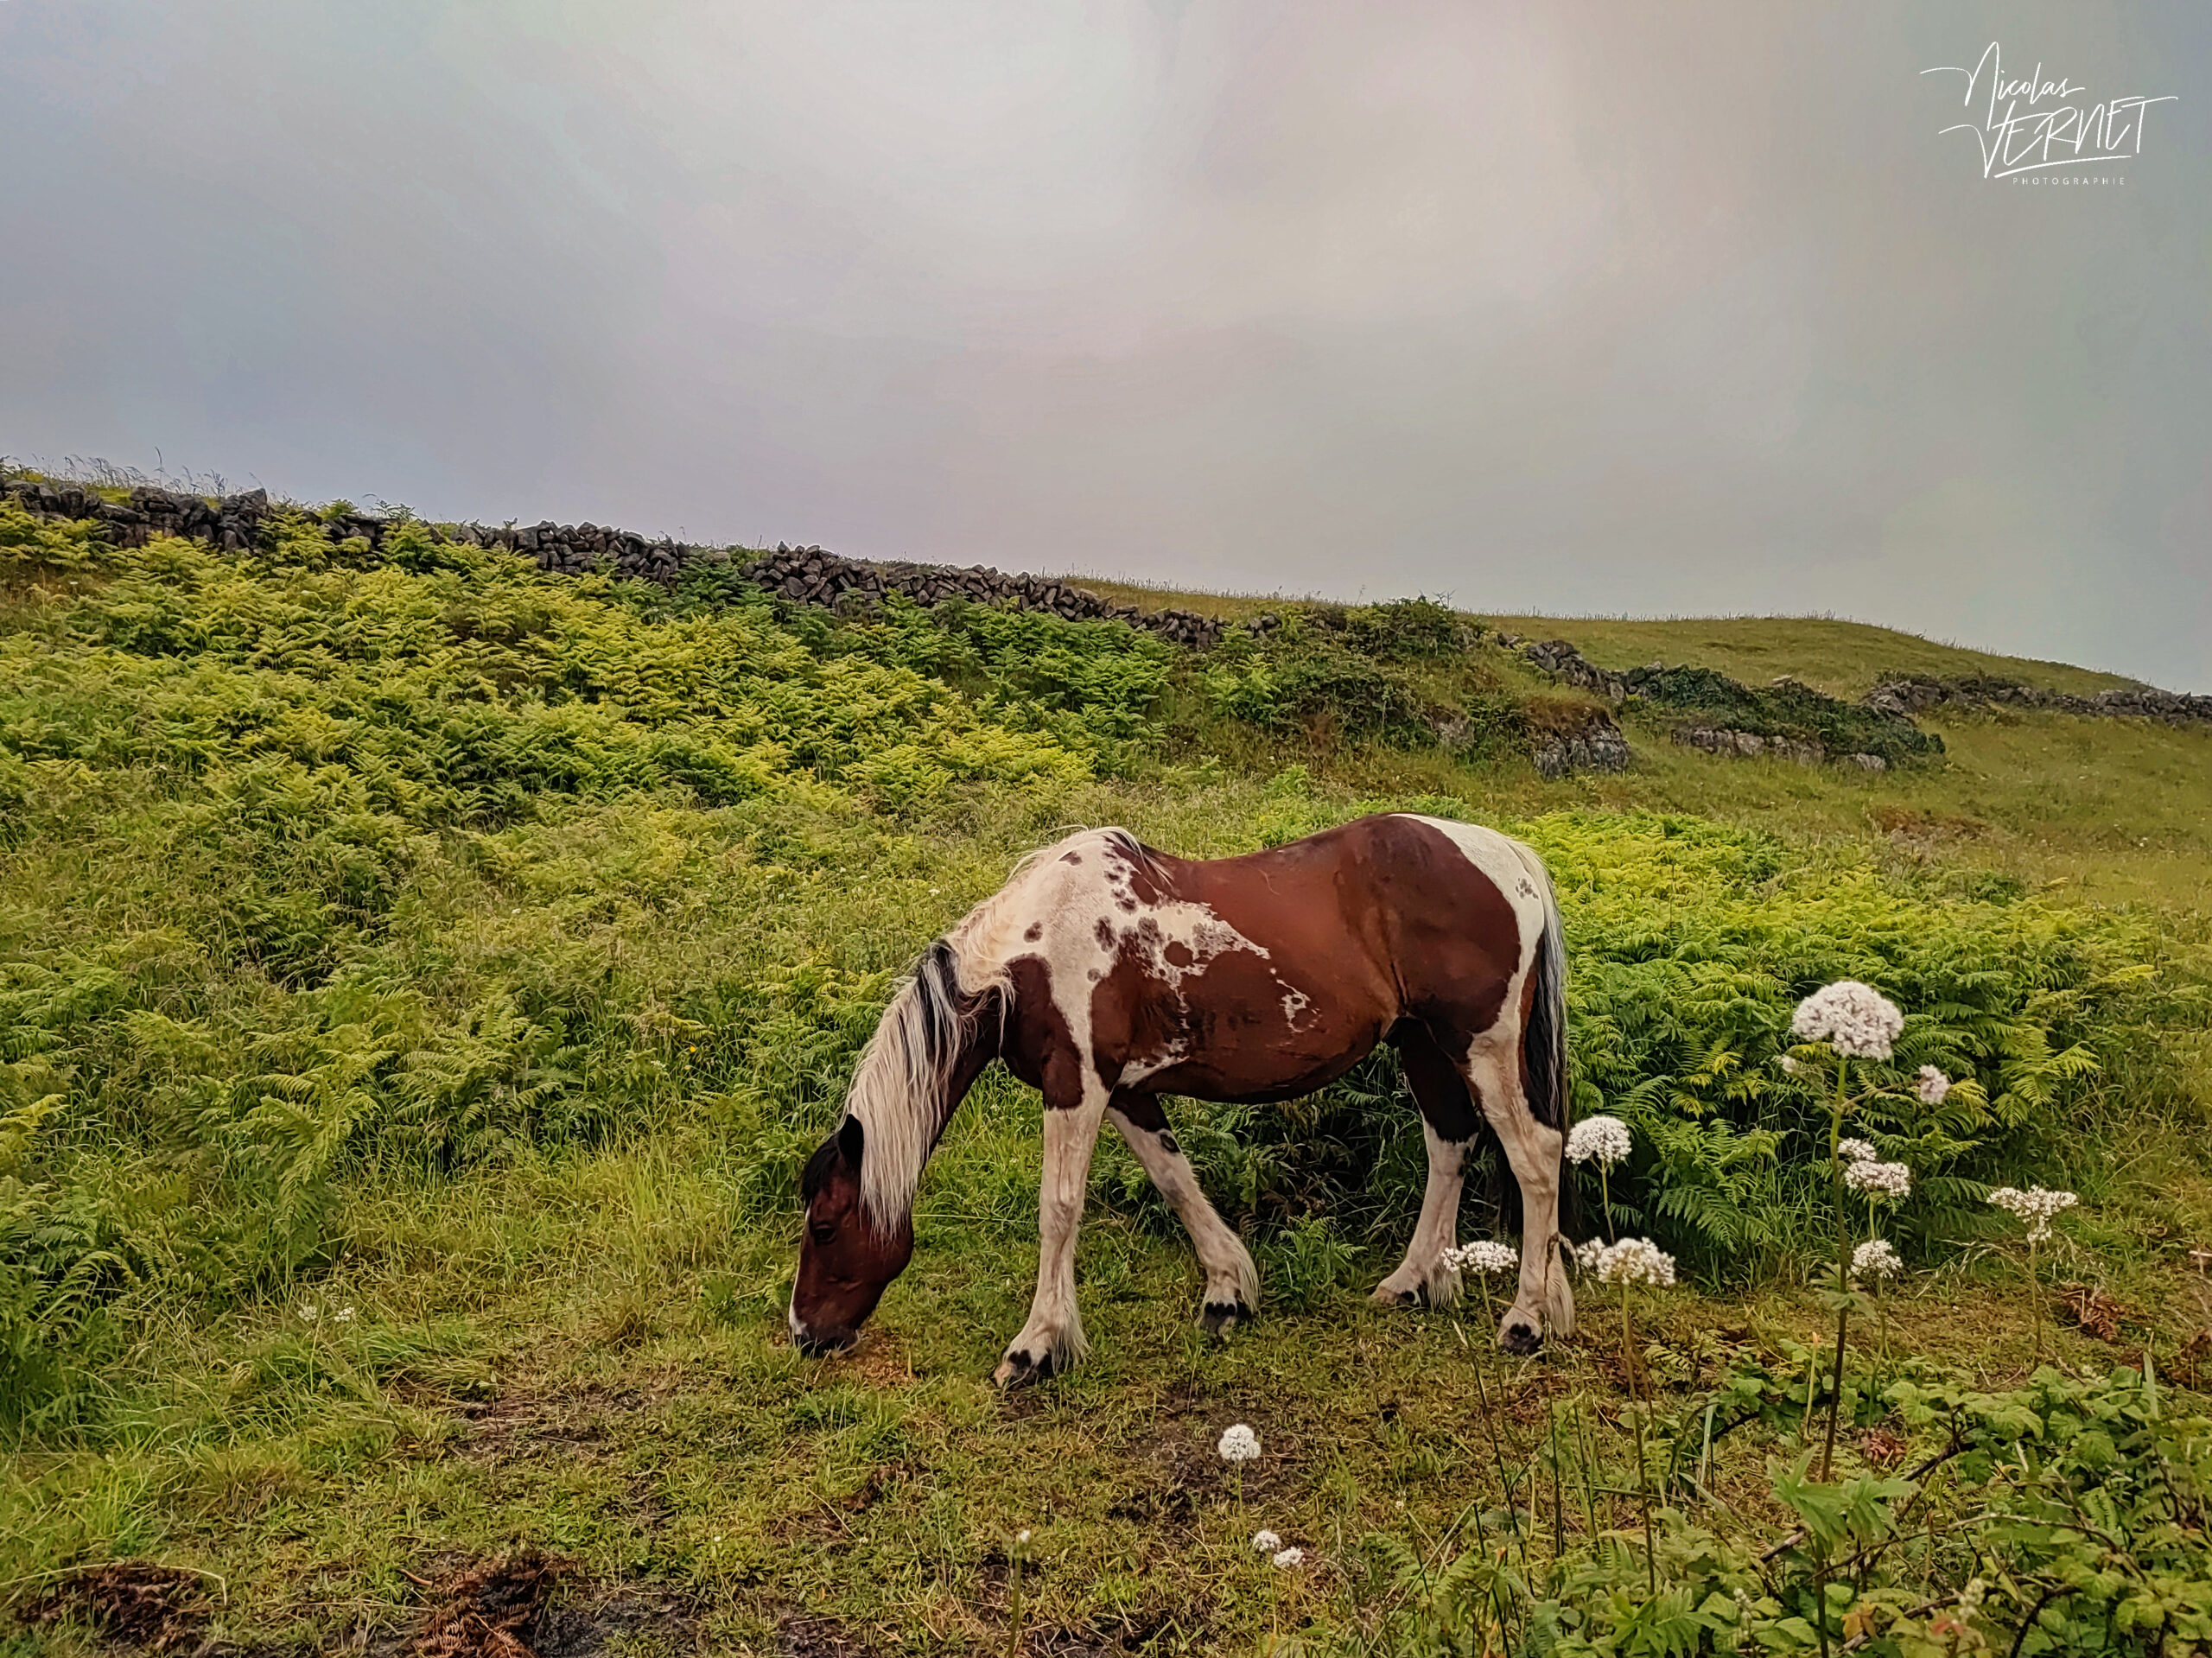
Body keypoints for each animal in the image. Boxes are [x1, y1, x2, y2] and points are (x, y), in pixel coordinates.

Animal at [789, 812, 1575, 1385]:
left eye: (824, 1226)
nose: (805, 1334)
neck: (1036, 949)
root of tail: (1512, 857)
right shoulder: (1126, 1090)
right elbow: (1174, 1179)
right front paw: (1228, 1291)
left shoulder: (1076, 1085)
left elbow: (1058, 1209)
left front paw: (1036, 1346)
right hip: (1422, 1042)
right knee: (1450, 1143)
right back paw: (1414, 1282)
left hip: (1480, 1043)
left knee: (1535, 1157)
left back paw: (1528, 1319)